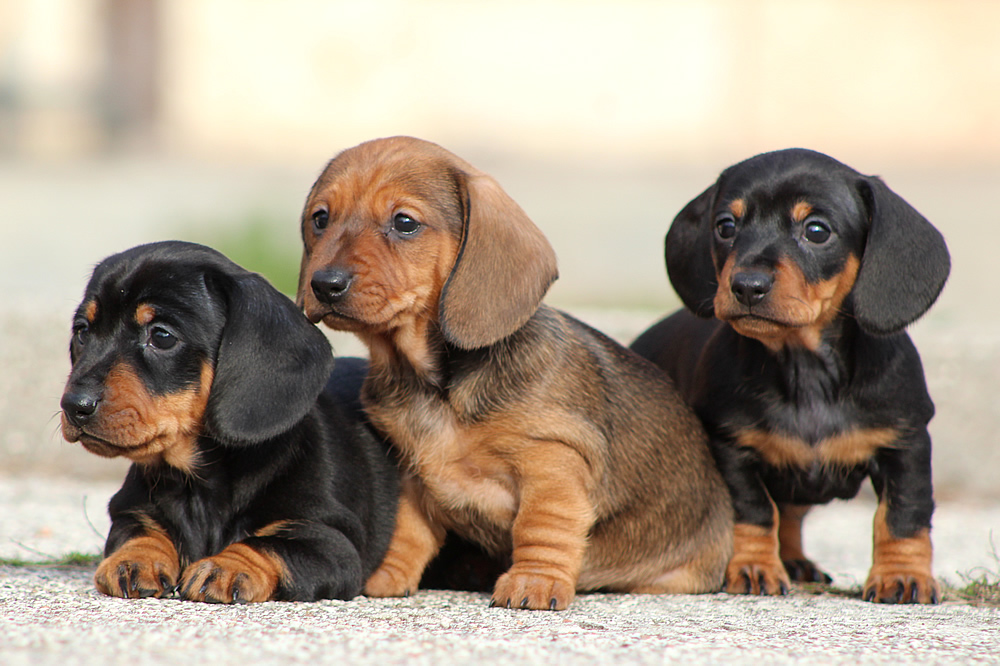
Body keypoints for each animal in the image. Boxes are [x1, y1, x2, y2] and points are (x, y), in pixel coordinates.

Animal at [59, 243, 398, 600]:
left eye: (162, 336)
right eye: (82, 331)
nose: (74, 405)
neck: (199, 483)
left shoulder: (331, 542)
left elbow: (267, 544)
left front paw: (228, 566)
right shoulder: (129, 511)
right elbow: (139, 532)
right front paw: (135, 560)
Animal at [292, 137, 732, 608]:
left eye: (404, 222)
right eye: (320, 218)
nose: (325, 284)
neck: (434, 384)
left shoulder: (552, 460)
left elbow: (541, 526)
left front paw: (534, 581)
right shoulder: (412, 474)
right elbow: (408, 531)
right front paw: (388, 576)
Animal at [628, 149, 948, 600]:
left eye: (816, 230)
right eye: (725, 226)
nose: (747, 285)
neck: (805, 368)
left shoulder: (906, 444)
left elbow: (903, 516)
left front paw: (902, 576)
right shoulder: (732, 450)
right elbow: (756, 512)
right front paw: (754, 568)